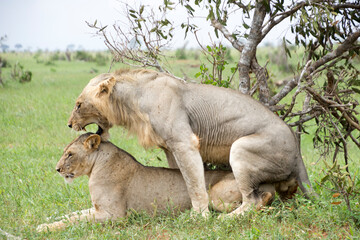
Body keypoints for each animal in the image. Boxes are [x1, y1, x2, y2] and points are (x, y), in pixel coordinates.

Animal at [37, 133, 292, 232]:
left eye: (70, 154)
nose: (57, 169)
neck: (96, 167)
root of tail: (269, 182)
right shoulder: (98, 208)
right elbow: (72, 214)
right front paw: (47, 220)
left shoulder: (114, 216)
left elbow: (76, 220)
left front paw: (43, 228)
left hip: (216, 196)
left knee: (257, 201)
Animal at [67, 69, 316, 216]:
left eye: (79, 105)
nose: (69, 125)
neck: (132, 103)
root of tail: (298, 152)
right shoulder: (169, 147)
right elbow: (182, 177)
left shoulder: (183, 141)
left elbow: (194, 183)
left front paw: (200, 216)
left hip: (241, 148)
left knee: (253, 201)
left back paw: (225, 219)